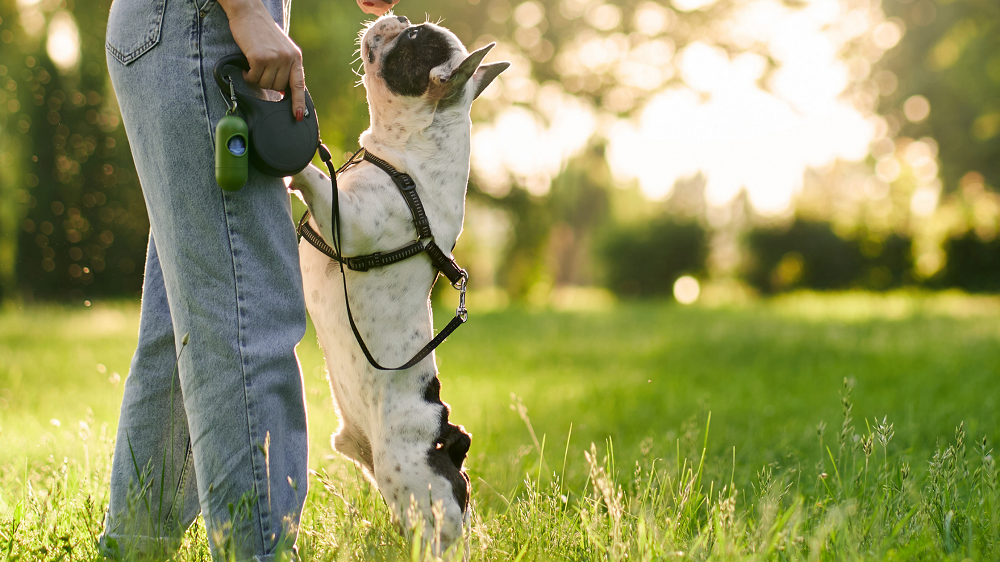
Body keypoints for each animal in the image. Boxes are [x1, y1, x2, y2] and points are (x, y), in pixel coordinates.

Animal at [290, 13, 508, 548]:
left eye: (411, 39)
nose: (398, 16)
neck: (404, 155)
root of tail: (448, 439)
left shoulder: (350, 221)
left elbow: (318, 181)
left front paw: (297, 163)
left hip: (411, 480)